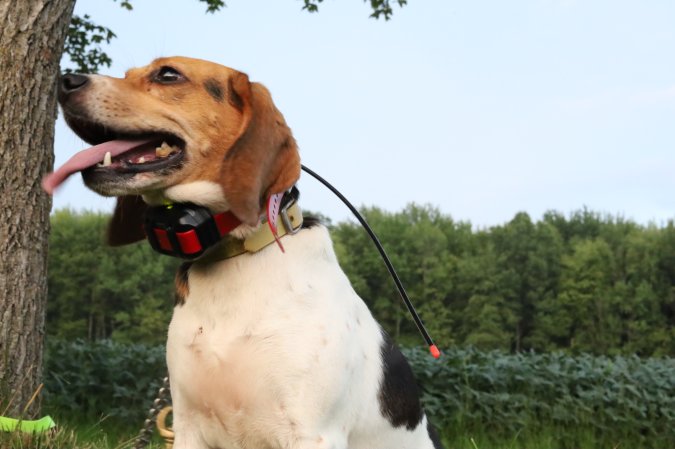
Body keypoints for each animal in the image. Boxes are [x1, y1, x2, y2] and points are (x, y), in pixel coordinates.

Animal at [43, 56, 444, 448]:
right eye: (128, 74)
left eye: (168, 74)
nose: (65, 80)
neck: (234, 257)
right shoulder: (187, 426)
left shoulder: (313, 433)